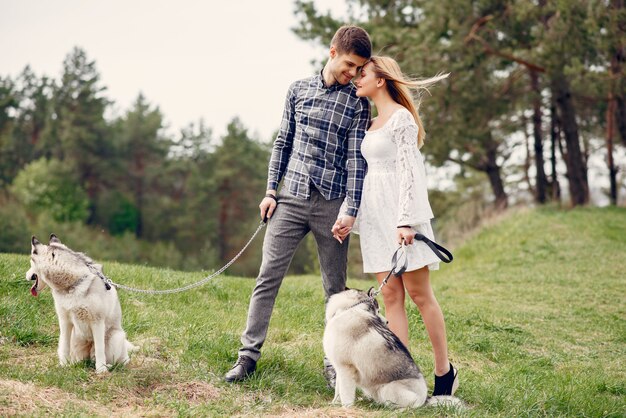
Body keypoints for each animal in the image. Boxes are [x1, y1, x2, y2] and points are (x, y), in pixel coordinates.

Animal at [27, 233, 135, 374]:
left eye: (30, 263)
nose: (26, 276)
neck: (72, 284)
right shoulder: (65, 321)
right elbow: (64, 346)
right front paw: (64, 365)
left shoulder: (97, 322)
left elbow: (100, 350)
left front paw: (101, 370)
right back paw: (76, 363)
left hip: (116, 338)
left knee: (117, 359)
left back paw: (110, 365)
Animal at [322, 290, 458, 406]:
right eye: (378, 311)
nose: (387, 322)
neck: (348, 309)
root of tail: (425, 399)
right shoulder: (340, 368)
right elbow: (338, 391)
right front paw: (334, 404)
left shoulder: (347, 368)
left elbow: (346, 395)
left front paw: (346, 409)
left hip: (388, 389)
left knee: (411, 406)